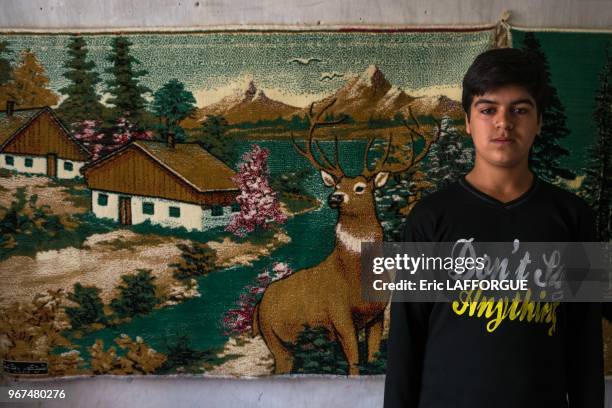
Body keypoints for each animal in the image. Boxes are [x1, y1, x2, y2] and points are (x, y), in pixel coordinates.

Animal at [251, 97, 442, 374]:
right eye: (337, 185)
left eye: (360, 188)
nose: (335, 198)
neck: (354, 278)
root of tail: (258, 306)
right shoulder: (338, 315)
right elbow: (353, 361)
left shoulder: (377, 314)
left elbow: (372, 355)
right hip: (275, 339)